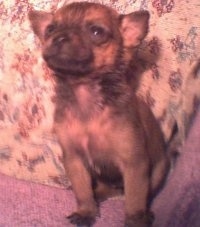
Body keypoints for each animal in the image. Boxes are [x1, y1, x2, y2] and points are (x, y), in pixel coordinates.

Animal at [28, 2, 169, 227]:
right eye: (50, 29)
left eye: (96, 32)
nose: (58, 37)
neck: (84, 91)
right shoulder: (74, 159)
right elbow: (82, 190)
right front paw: (86, 211)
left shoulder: (134, 163)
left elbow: (135, 197)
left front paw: (135, 220)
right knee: (104, 188)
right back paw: (97, 196)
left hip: (158, 171)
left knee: (142, 193)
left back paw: (146, 213)